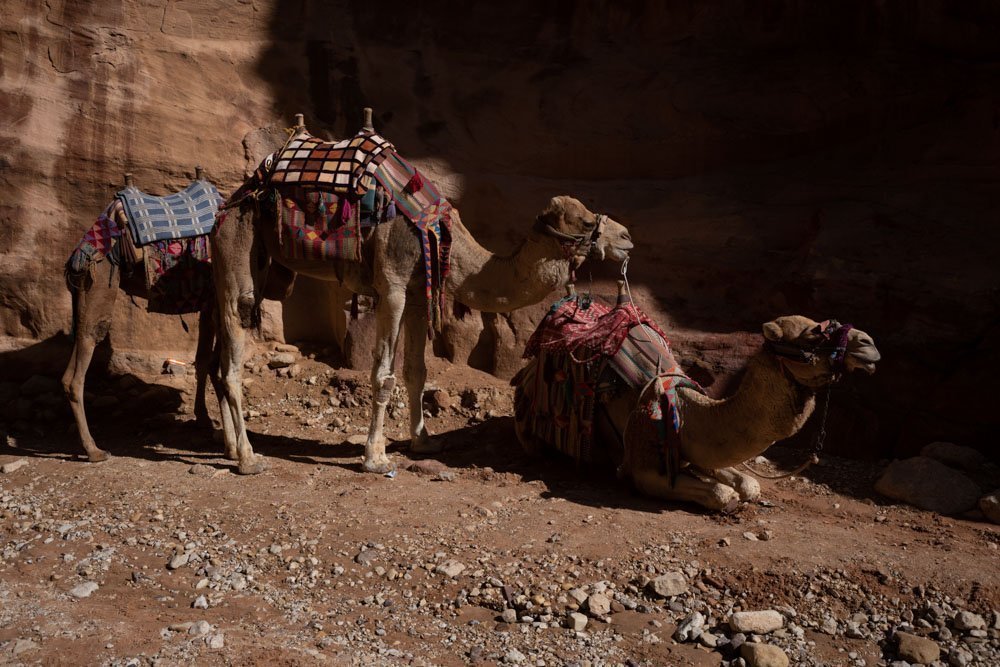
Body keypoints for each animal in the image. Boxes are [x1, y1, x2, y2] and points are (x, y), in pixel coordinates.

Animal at [211, 122, 632, 474]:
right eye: (584, 221)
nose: (627, 237)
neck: (444, 239)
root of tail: (229, 203)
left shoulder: (417, 295)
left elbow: (417, 371)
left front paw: (423, 441)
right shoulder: (393, 288)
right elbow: (383, 375)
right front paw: (375, 457)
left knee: (218, 358)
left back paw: (229, 447)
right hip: (238, 245)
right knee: (234, 351)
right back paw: (248, 458)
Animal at [512, 308, 880, 512]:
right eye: (814, 334)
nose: (870, 345)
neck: (689, 411)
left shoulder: (695, 450)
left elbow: (748, 484)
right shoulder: (640, 462)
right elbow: (721, 491)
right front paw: (727, 500)